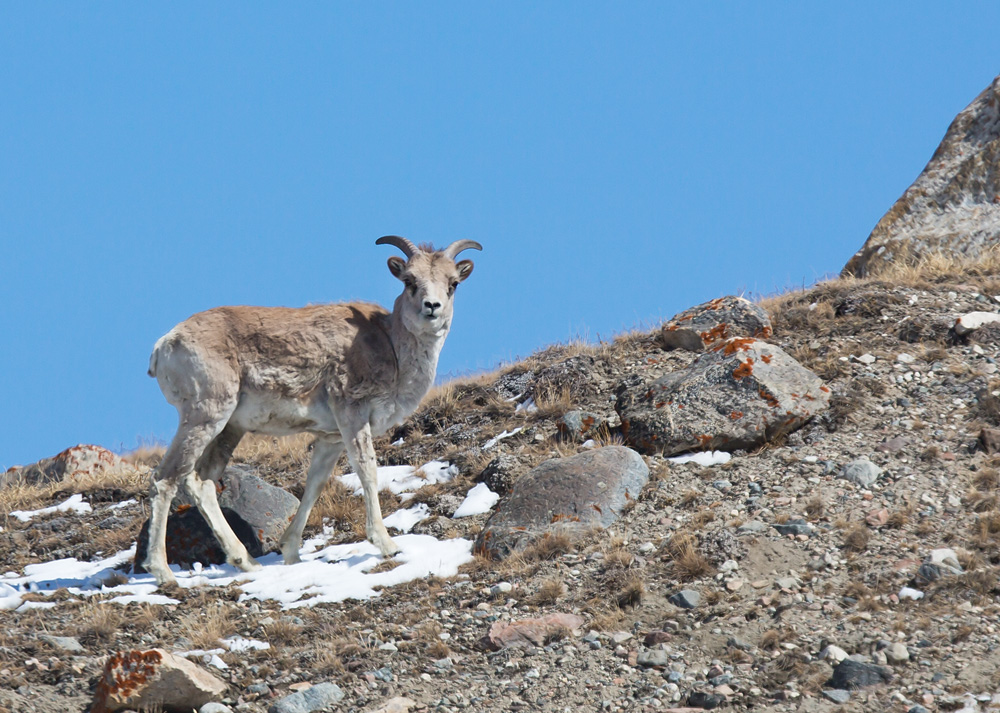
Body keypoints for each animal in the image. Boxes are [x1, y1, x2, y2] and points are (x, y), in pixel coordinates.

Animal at [143, 238, 482, 584]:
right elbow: (367, 472)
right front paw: (387, 545)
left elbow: (314, 485)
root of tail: (165, 345)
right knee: (166, 479)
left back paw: (246, 562)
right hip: (205, 417)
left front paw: (291, 554)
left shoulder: (331, 438)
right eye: (410, 281)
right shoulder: (352, 416)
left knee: (201, 482)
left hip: (227, 429)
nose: (432, 307)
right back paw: (162, 572)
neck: (392, 348)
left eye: (453, 283)